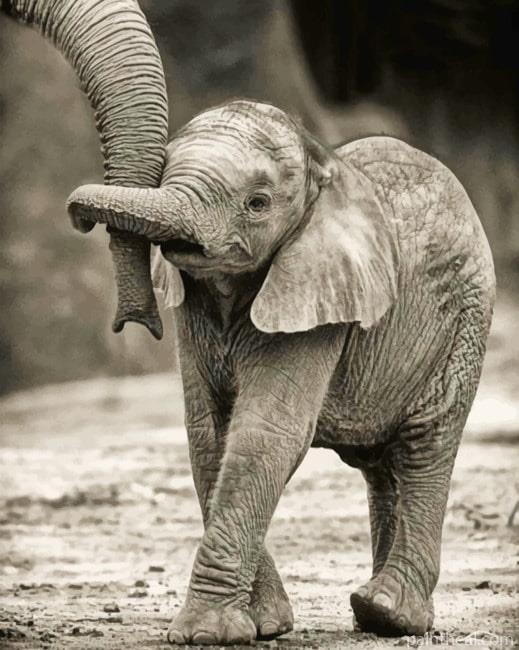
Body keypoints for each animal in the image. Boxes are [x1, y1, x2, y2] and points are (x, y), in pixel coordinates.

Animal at [67, 99, 496, 644]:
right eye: (163, 172)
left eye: (258, 203)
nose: (132, 325)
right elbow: (209, 435)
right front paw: (265, 625)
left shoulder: (318, 294)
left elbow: (265, 434)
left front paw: (205, 634)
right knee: (384, 468)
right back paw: (374, 615)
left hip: (464, 320)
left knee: (425, 445)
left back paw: (390, 613)